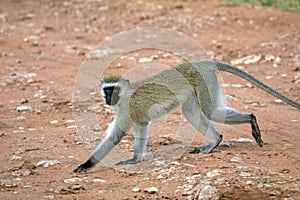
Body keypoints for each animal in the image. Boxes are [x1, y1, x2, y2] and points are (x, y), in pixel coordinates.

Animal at [73, 60, 300, 173]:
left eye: (114, 90)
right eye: (106, 90)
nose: (108, 98)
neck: (126, 96)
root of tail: (202, 63)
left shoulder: (129, 109)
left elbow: (114, 137)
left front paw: (86, 165)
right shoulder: (134, 115)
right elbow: (141, 128)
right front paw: (135, 159)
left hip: (205, 80)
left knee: (209, 111)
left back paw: (248, 120)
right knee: (192, 112)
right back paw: (216, 140)